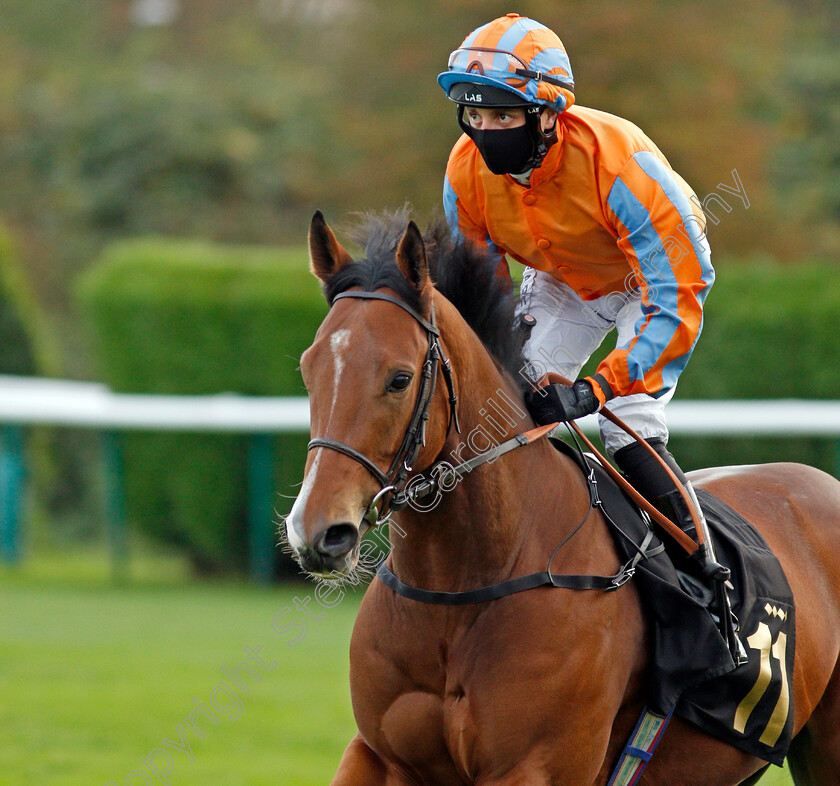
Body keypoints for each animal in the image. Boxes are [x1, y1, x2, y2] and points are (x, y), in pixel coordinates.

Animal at [284, 210, 840, 784]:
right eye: (308, 368)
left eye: (399, 378)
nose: (319, 532)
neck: (461, 588)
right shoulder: (378, 756)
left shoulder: (533, 766)